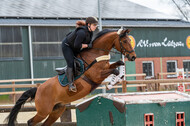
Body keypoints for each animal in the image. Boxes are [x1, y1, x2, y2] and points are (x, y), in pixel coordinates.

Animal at [5, 28, 136, 125]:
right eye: (125, 41)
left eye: (130, 40)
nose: (133, 57)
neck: (96, 53)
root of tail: (38, 89)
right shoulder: (97, 75)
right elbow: (115, 70)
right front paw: (111, 83)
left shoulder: (106, 67)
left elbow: (119, 64)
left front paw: (116, 79)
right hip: (43, 111)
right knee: (30, 122)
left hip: (56, 111)